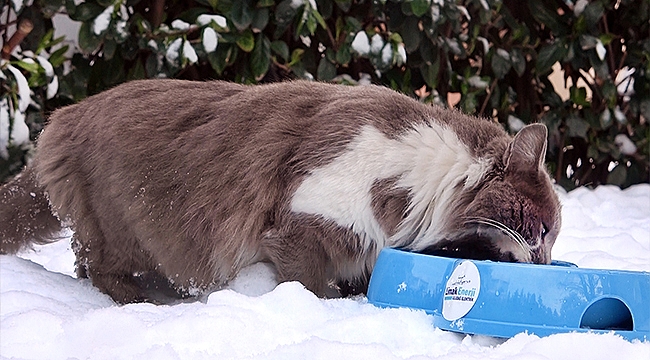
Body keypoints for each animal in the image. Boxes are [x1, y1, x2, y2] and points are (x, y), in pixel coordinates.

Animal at [0, 79, 556, 304]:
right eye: (545, 228)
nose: (550, 263)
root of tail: (61, 120)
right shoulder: (305, 221)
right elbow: (310, 283)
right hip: (122, 227)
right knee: (95, 265)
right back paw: (137, 302)